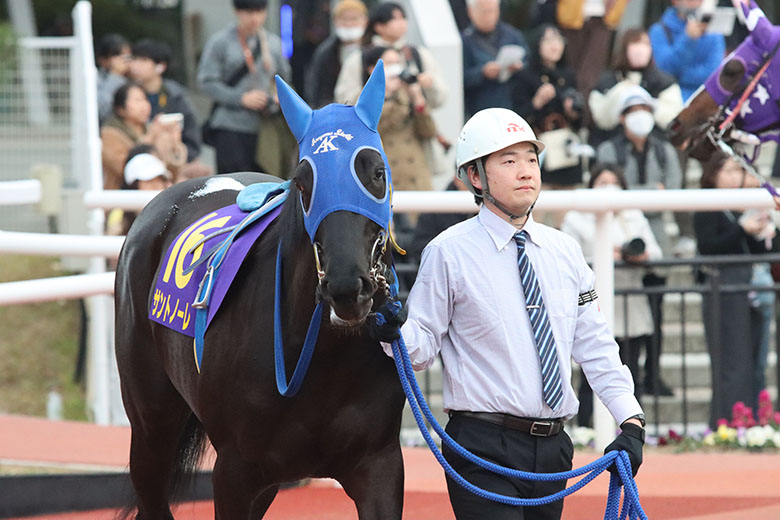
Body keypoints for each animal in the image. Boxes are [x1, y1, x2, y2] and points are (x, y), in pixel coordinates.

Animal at [116, 63, 408, 516]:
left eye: (376, 173)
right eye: (302, 183)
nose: (347, 286)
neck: (323, 359)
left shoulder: (379, 466)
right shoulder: (234, 473)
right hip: (150, 427)